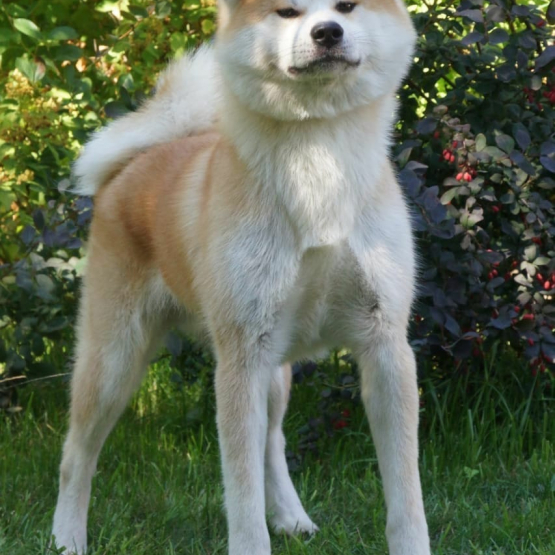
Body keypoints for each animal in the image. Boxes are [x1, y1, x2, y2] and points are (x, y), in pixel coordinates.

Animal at [52, 1, 432, 555]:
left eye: (347, 8)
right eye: (287, 11)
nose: (327, 33)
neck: (318, 162)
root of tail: (130, 165)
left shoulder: (385, 347)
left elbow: (406, 494)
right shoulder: (240, 358)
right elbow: (242, 492)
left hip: (272, 374)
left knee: (271, 441)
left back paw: (293, 517)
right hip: (114, 363)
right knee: (77, 453)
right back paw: (66, 536)